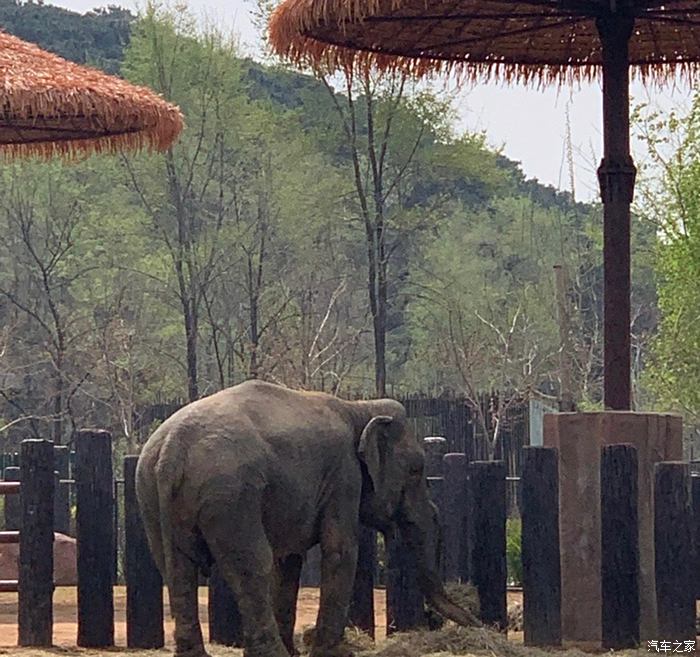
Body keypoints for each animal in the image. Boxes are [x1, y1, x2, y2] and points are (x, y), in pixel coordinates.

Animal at [137, 380, 476, 656]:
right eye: (416, 470)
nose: (476, 620)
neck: (359, 408)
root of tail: (171, 451)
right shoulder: (344, 475)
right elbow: (341, 550)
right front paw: (334, 653)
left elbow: (289, 560)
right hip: (230, 495)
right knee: (252, 564)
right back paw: (272, 654)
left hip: (152, 497)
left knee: (177, 568)